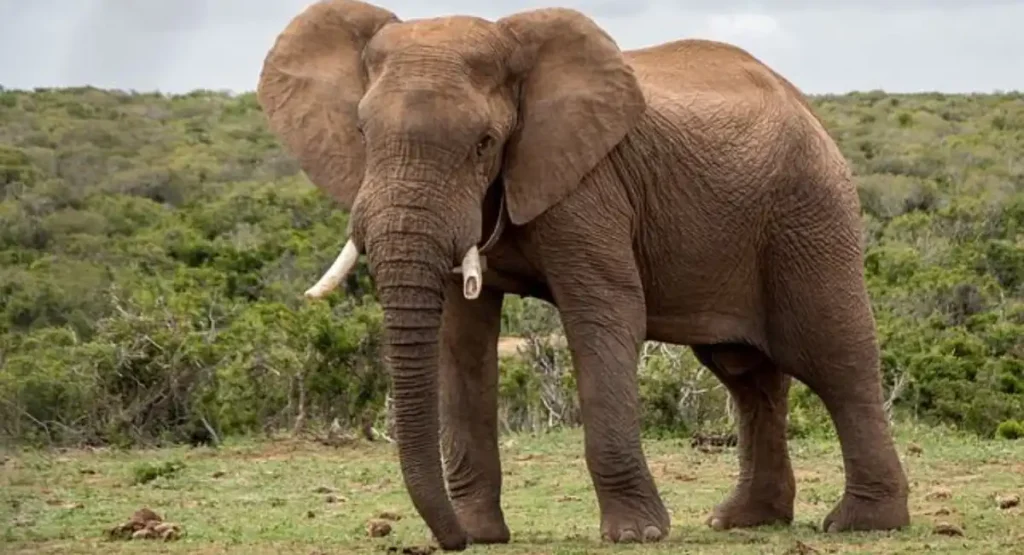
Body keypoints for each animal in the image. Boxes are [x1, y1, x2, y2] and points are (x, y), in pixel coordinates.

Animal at [255, 0, 911, 550]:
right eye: (363, 135)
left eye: (484, 143)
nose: (450, 541)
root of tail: (806, 106)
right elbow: (459, 339)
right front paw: (480, 533)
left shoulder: (590, 187)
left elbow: (605, 314)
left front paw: (637, 535)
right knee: (746, 374)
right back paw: (744, 520)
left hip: (809, 211)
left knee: (834, 357)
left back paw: (864, 523)